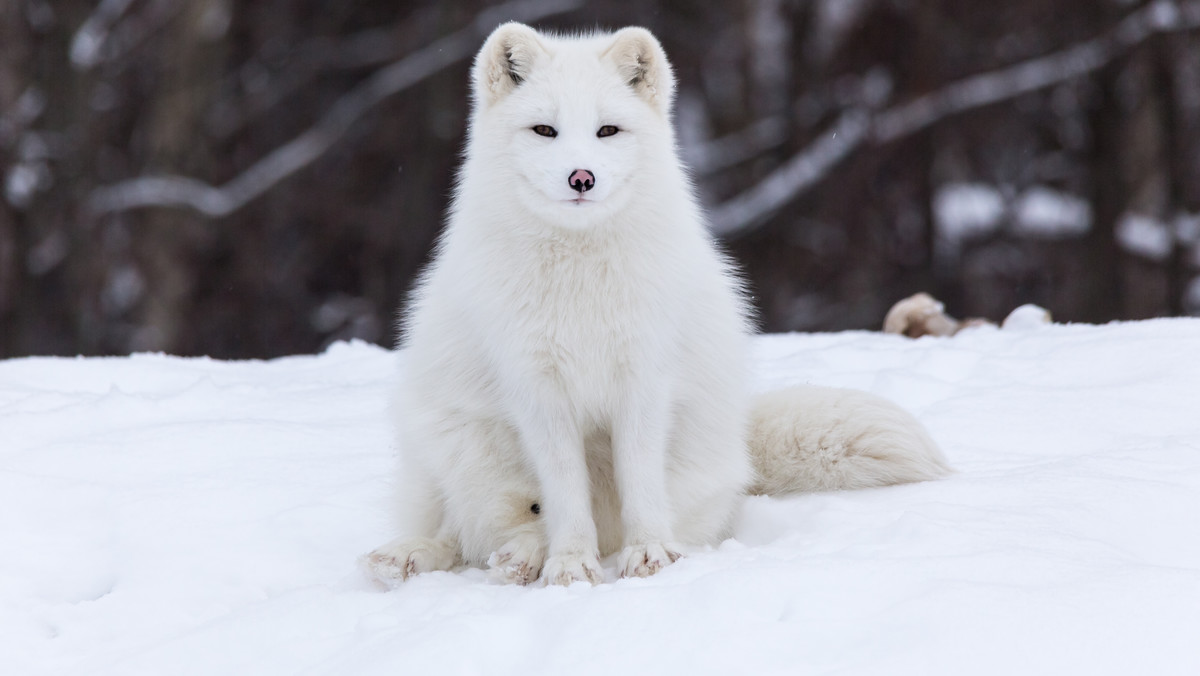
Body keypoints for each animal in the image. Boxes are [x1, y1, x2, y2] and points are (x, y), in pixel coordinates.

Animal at [364, 22, 945, 588]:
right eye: (545, 131)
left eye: (607, 131)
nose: (581, 178)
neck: (581, 287)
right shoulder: (536, 388)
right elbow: (563, 495)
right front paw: (570, 565)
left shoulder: (643, 376)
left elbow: (640, 480)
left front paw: (650, 554)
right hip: (465, 443)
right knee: (470, 529)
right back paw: (438, 556)